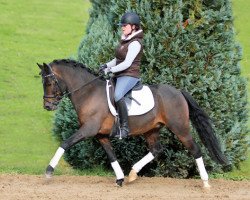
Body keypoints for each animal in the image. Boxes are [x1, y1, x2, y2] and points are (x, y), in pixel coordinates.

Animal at [37, 58, 229, 188]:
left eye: (50, 82)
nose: (47, 106)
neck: (88, 92)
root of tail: (178, 92)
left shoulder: (88, 130)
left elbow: (65, 143)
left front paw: (49, 171)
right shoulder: (100, 135)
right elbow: (112, 156)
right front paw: (120, 179)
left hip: (179, 128)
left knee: (195, 149)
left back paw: (205, 183)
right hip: (151, 129)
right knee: (156, 149)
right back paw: (132, 173)